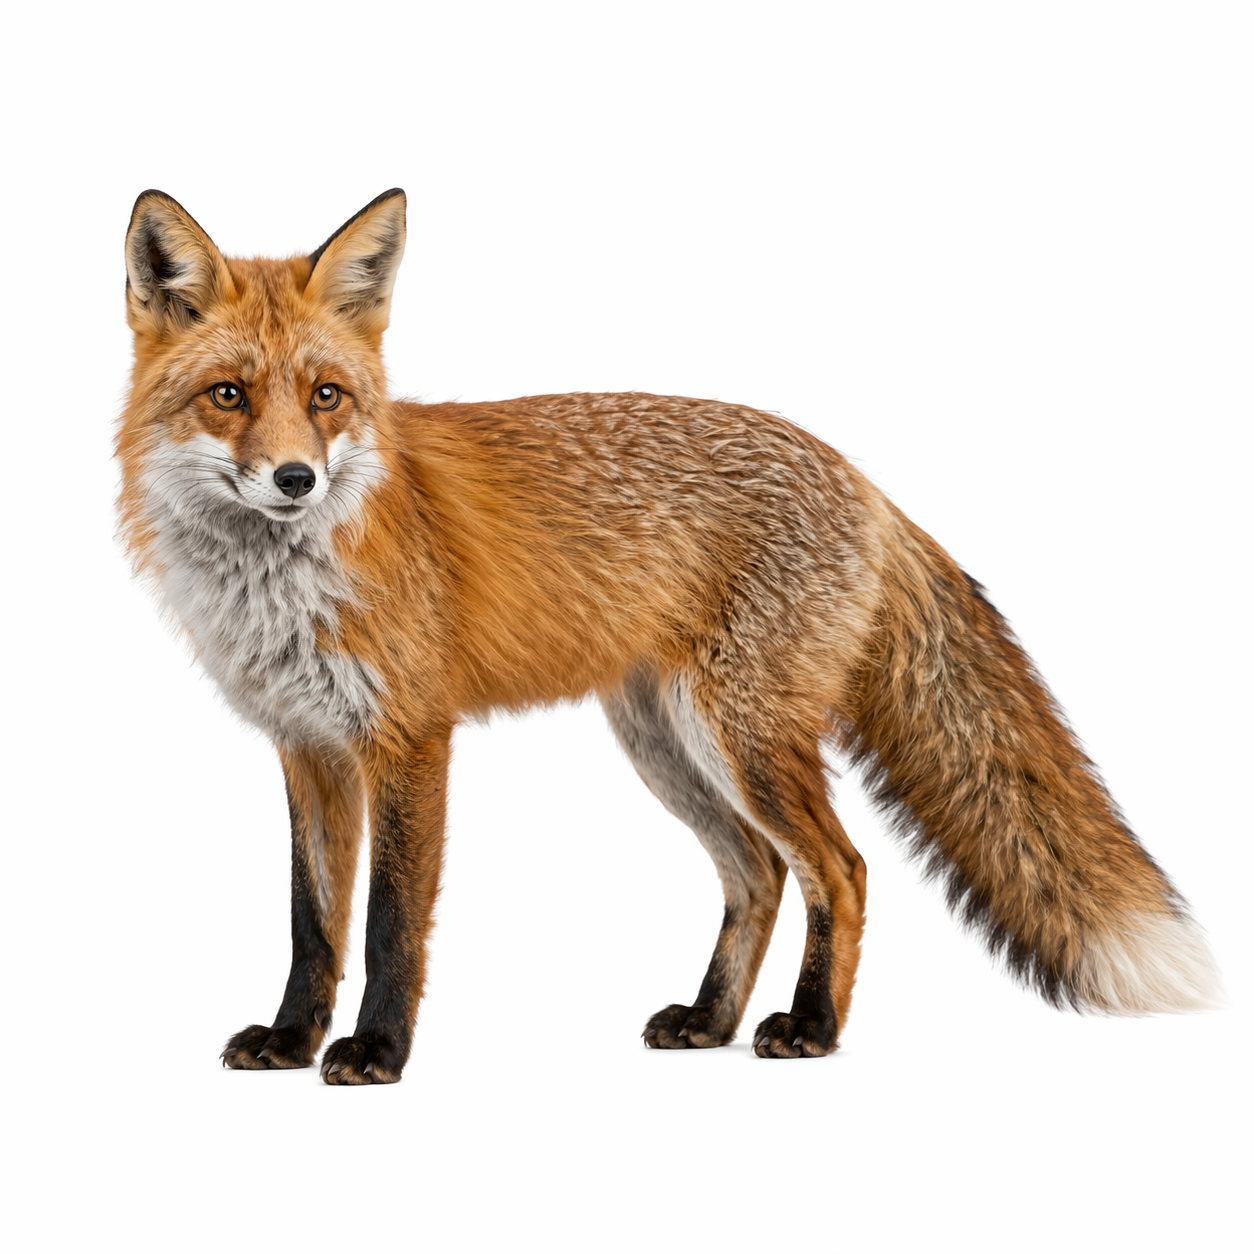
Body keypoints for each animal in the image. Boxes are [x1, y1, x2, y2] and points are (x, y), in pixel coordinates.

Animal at [116, 188, 1220, 1084]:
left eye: (327, 397)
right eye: (228, 396)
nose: (295, 479)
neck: (283, 583)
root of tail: (860, 477)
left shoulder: (408, 739)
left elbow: (390, 922)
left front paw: (377, 1051)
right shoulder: (307, 748)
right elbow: (313, 922)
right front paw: (291, 1040)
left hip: (742, 737)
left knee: (841, 868)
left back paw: (810, 1028)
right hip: (667, 743)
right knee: (760, 873)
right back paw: (710, 1020)